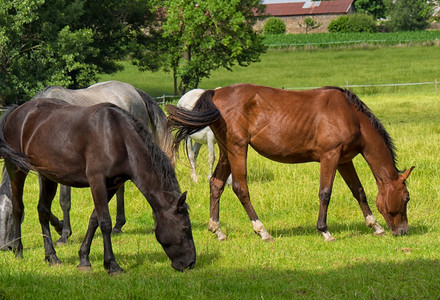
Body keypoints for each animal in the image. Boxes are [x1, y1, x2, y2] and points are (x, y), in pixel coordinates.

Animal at [0, 81, 174, 247]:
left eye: (8, 216)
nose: (5, 247)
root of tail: (134, 90)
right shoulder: (44, 172)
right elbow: (45, 205)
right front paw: (59, 226)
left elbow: (64, 201)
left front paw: (64, 234)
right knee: (120, 189)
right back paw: (118, 225)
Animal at [0, 98, 196, 274]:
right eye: (185, 228)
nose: (190, 263)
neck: (119, 137)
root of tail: (17, 111)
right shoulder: (97, 181)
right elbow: (105, 222)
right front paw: (112, 264)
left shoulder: (112, 185)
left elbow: (94, 219)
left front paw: (84, 259)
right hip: (17, 170)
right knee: (18, 208)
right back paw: (18, 250)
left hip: (48, 177)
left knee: (42, 210)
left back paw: (52, 256)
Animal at [167, 84, 414, 241]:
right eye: (407, 198)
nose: (403, 231)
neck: (350, 114)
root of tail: (216, 93)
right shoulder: (330, 156)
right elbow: (325, 193)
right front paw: (324, 231)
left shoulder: (344, 161)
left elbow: (359, 191)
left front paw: (375, 226)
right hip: (237, 148)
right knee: (240, 188)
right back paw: (262, 230)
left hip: (226, 151)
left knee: (216, 184)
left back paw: (217, 230)